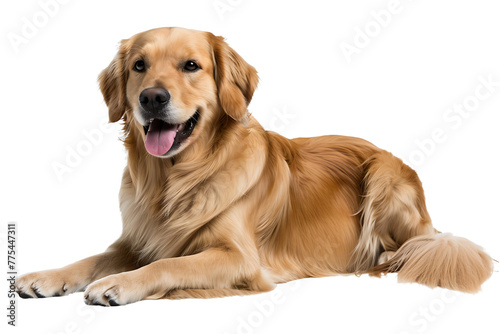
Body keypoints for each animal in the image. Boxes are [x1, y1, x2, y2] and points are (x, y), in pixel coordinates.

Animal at [15, 28, 492, 306]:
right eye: (139, 66)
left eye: (191, 65)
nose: (151, 97)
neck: (177, 181)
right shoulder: (136, 239)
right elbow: (94, 257)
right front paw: (48, 276)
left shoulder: (238, 257)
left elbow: (169, 265)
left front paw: (119, 284)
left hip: (385, 177)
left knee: (409, 246)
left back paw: (383, 258)